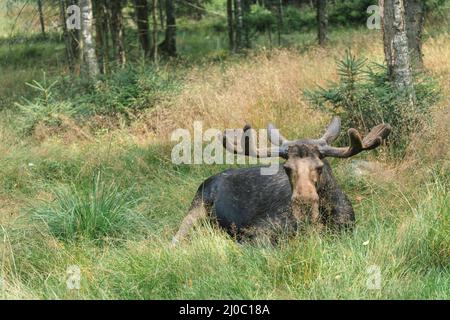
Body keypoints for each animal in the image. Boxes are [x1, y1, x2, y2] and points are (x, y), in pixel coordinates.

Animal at [172, 117, 390, 245]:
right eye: (287, 168)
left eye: (319, 166)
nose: (303, 202)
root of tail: (207, 180)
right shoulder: (258, 229)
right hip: (195, 210)